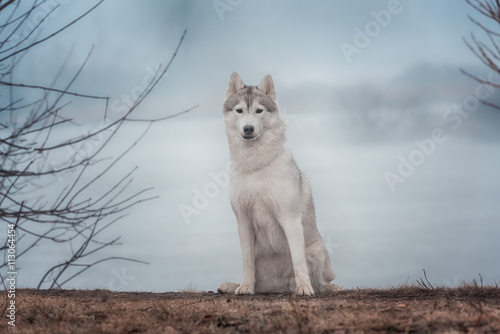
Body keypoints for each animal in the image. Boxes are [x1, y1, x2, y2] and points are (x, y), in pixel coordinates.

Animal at [217, 72, 338, 294]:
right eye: (239, 110)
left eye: (259, 110)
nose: (248, 128)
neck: (256, 166)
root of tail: (278, 287)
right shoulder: (243, 222)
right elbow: (247, 262)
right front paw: (245, 287)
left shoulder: (289, 218)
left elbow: (298, 261)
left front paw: (304, 288)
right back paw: (235, 286)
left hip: (318, 250)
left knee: (321, 281)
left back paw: (326, 287)